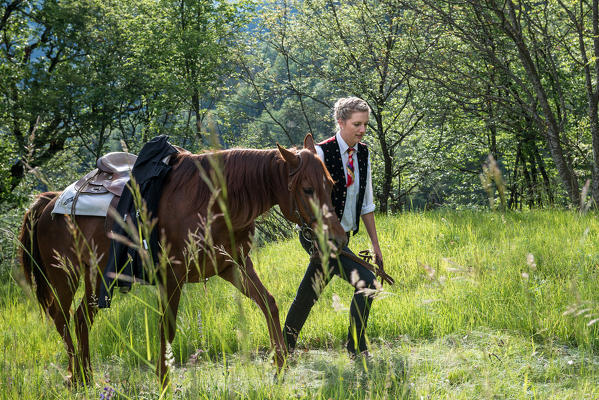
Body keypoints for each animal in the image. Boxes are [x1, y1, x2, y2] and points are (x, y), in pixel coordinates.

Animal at [18, 134, 346, 384]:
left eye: (332, 184)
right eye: (307, 189)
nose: (339, 239)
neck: (215, 201)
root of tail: (49, 202)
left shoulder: (233, 267)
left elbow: (269, 303)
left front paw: (280, 365)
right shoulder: (172, 277)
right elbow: (168, 330)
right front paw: (163, 382)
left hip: (97, 278)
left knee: (80, 320)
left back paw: (86, 377)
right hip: (64, 277)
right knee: (62, 320)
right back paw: (75, 378)